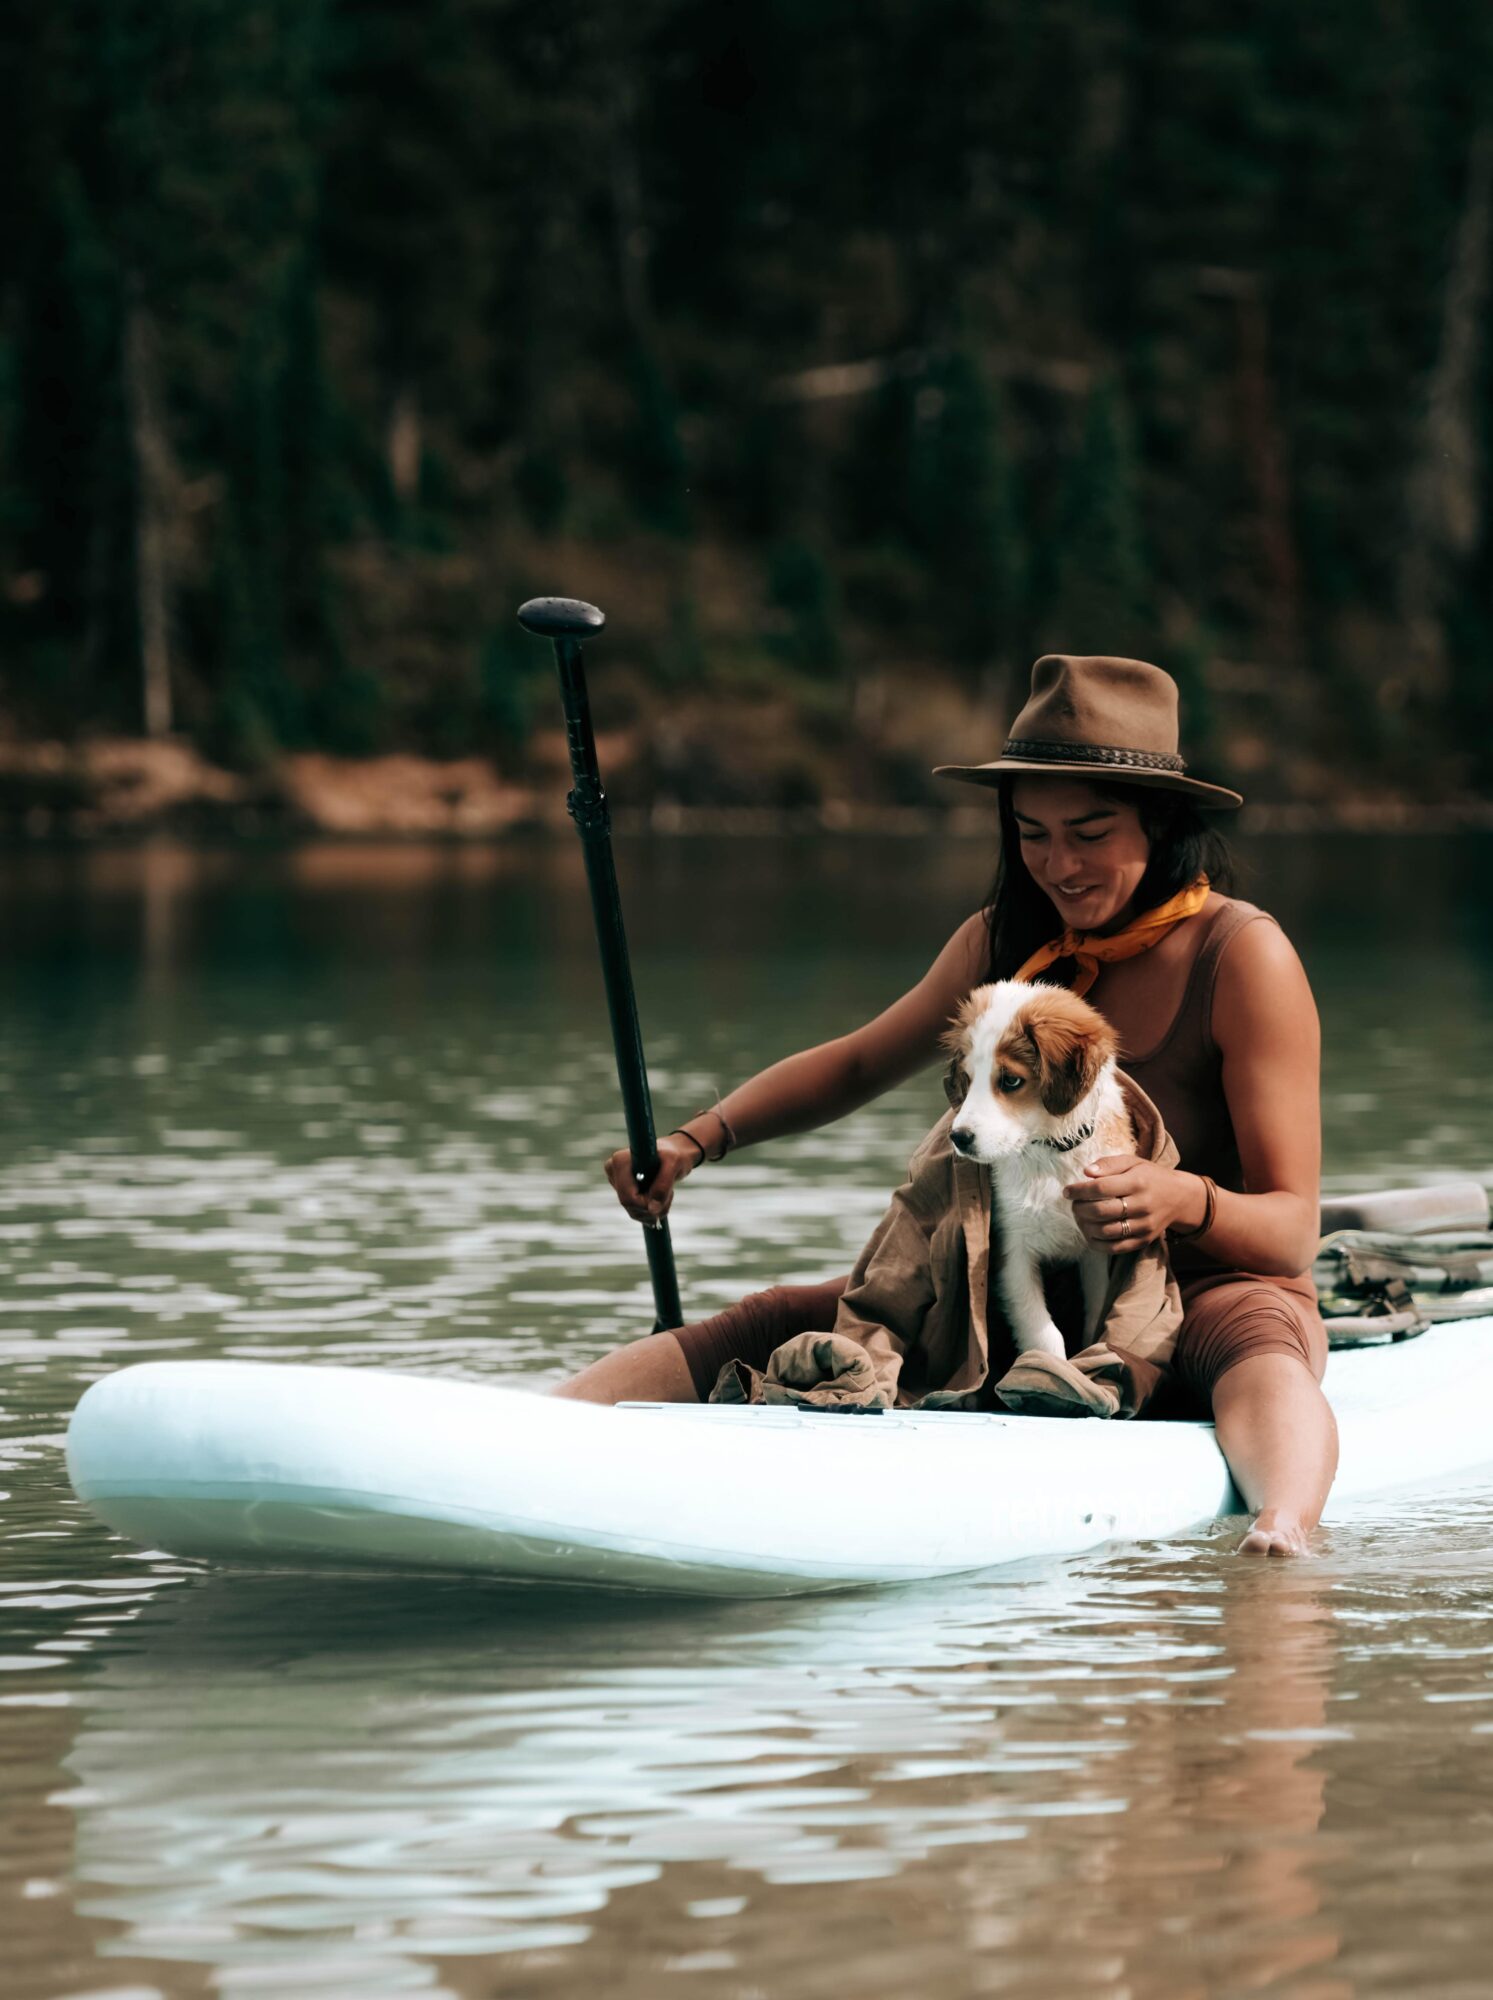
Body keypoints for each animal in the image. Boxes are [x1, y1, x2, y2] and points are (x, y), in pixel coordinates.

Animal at [940, 980, 1128, 1360]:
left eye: (1011, 1081)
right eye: (967, 1078)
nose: (959, 1138)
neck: (1049, 1154)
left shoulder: (1096, 1245)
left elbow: (1096, 1313)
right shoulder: (1012, 1249)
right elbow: (1044, 1335)